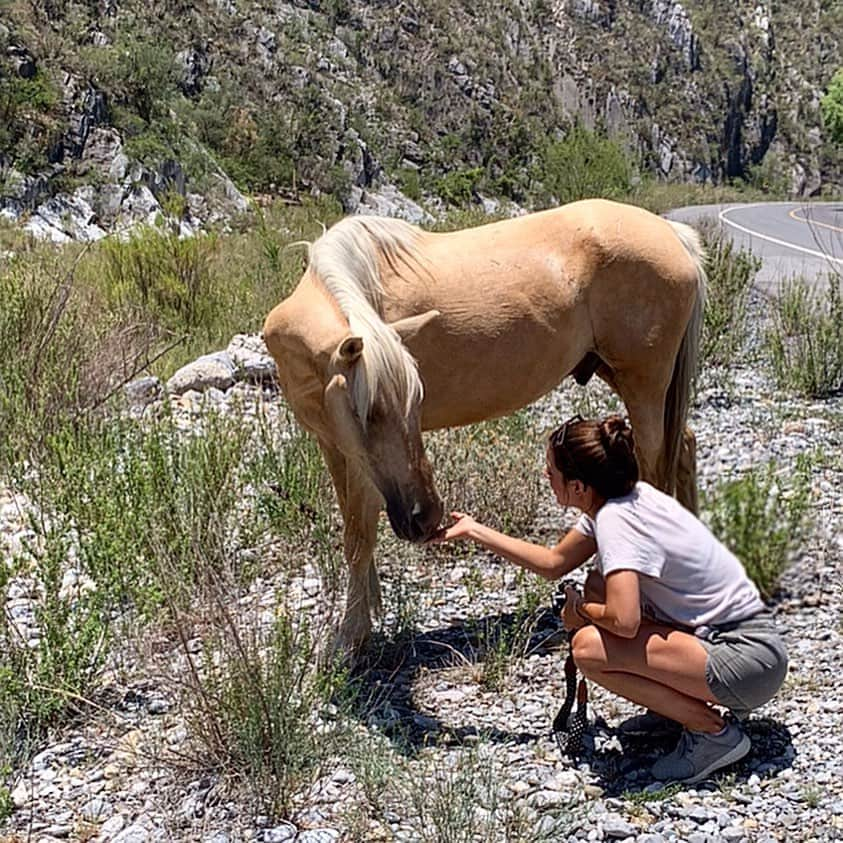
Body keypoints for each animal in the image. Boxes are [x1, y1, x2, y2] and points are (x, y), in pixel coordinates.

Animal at [264, 201, 704, 656]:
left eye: (415, 401)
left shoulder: (361, 463)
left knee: (654, 471)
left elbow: (360, 534)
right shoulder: (335, 445)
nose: (426, 518)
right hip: (628, 380)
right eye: (368, 413)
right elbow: (353, 529)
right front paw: (367, 615)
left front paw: (351, 638)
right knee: (684, 447)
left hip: (644, 385)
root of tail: (673, 235)